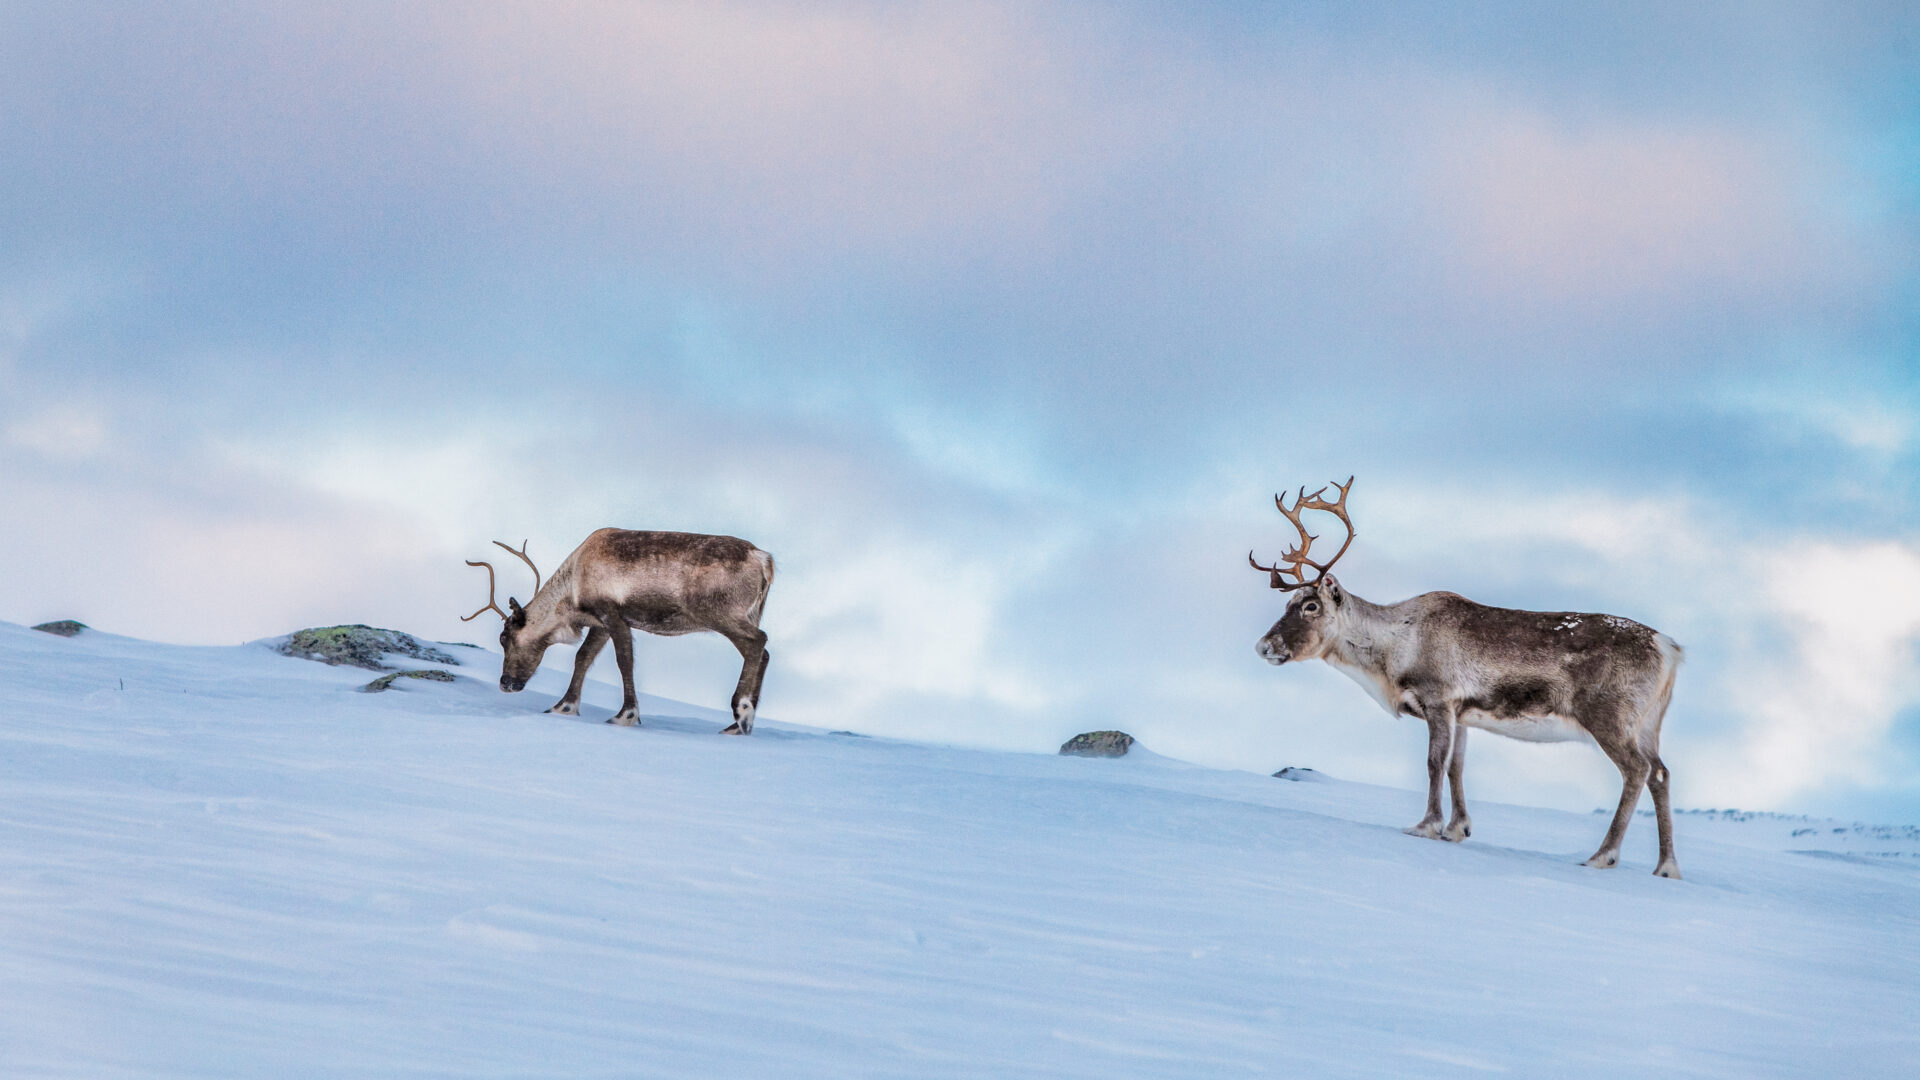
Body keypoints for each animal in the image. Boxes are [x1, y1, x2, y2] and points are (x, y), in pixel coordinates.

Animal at [462, 529, 775, 734]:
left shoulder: (612, 614)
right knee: (764, 652)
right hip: (750, 614)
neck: (572, 589)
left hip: (718, 613)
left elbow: (624, 659)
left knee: (758, 641)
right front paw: (563, 706)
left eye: (504, 638)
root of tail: (764, 560)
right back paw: (735, 724)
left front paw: (625, 715)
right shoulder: (599, 624)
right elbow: (583, 658)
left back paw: (743, 713)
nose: (505, 683)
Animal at [1250, 478, 1684, 879]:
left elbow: (1433, 762)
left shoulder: (1438, 699)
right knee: (1661, 773)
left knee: (1636, 770)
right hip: (1649, 724)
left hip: (1609, 717)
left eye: (1310, 605)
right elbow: (1456, 766)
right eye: (1287, 602)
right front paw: (1458, 828)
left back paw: (1602, 855)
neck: (1394, 647)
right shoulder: (1462, 712)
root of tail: (1669, 648)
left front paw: (1426, 825)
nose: (1263, 646)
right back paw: (1666, 867)